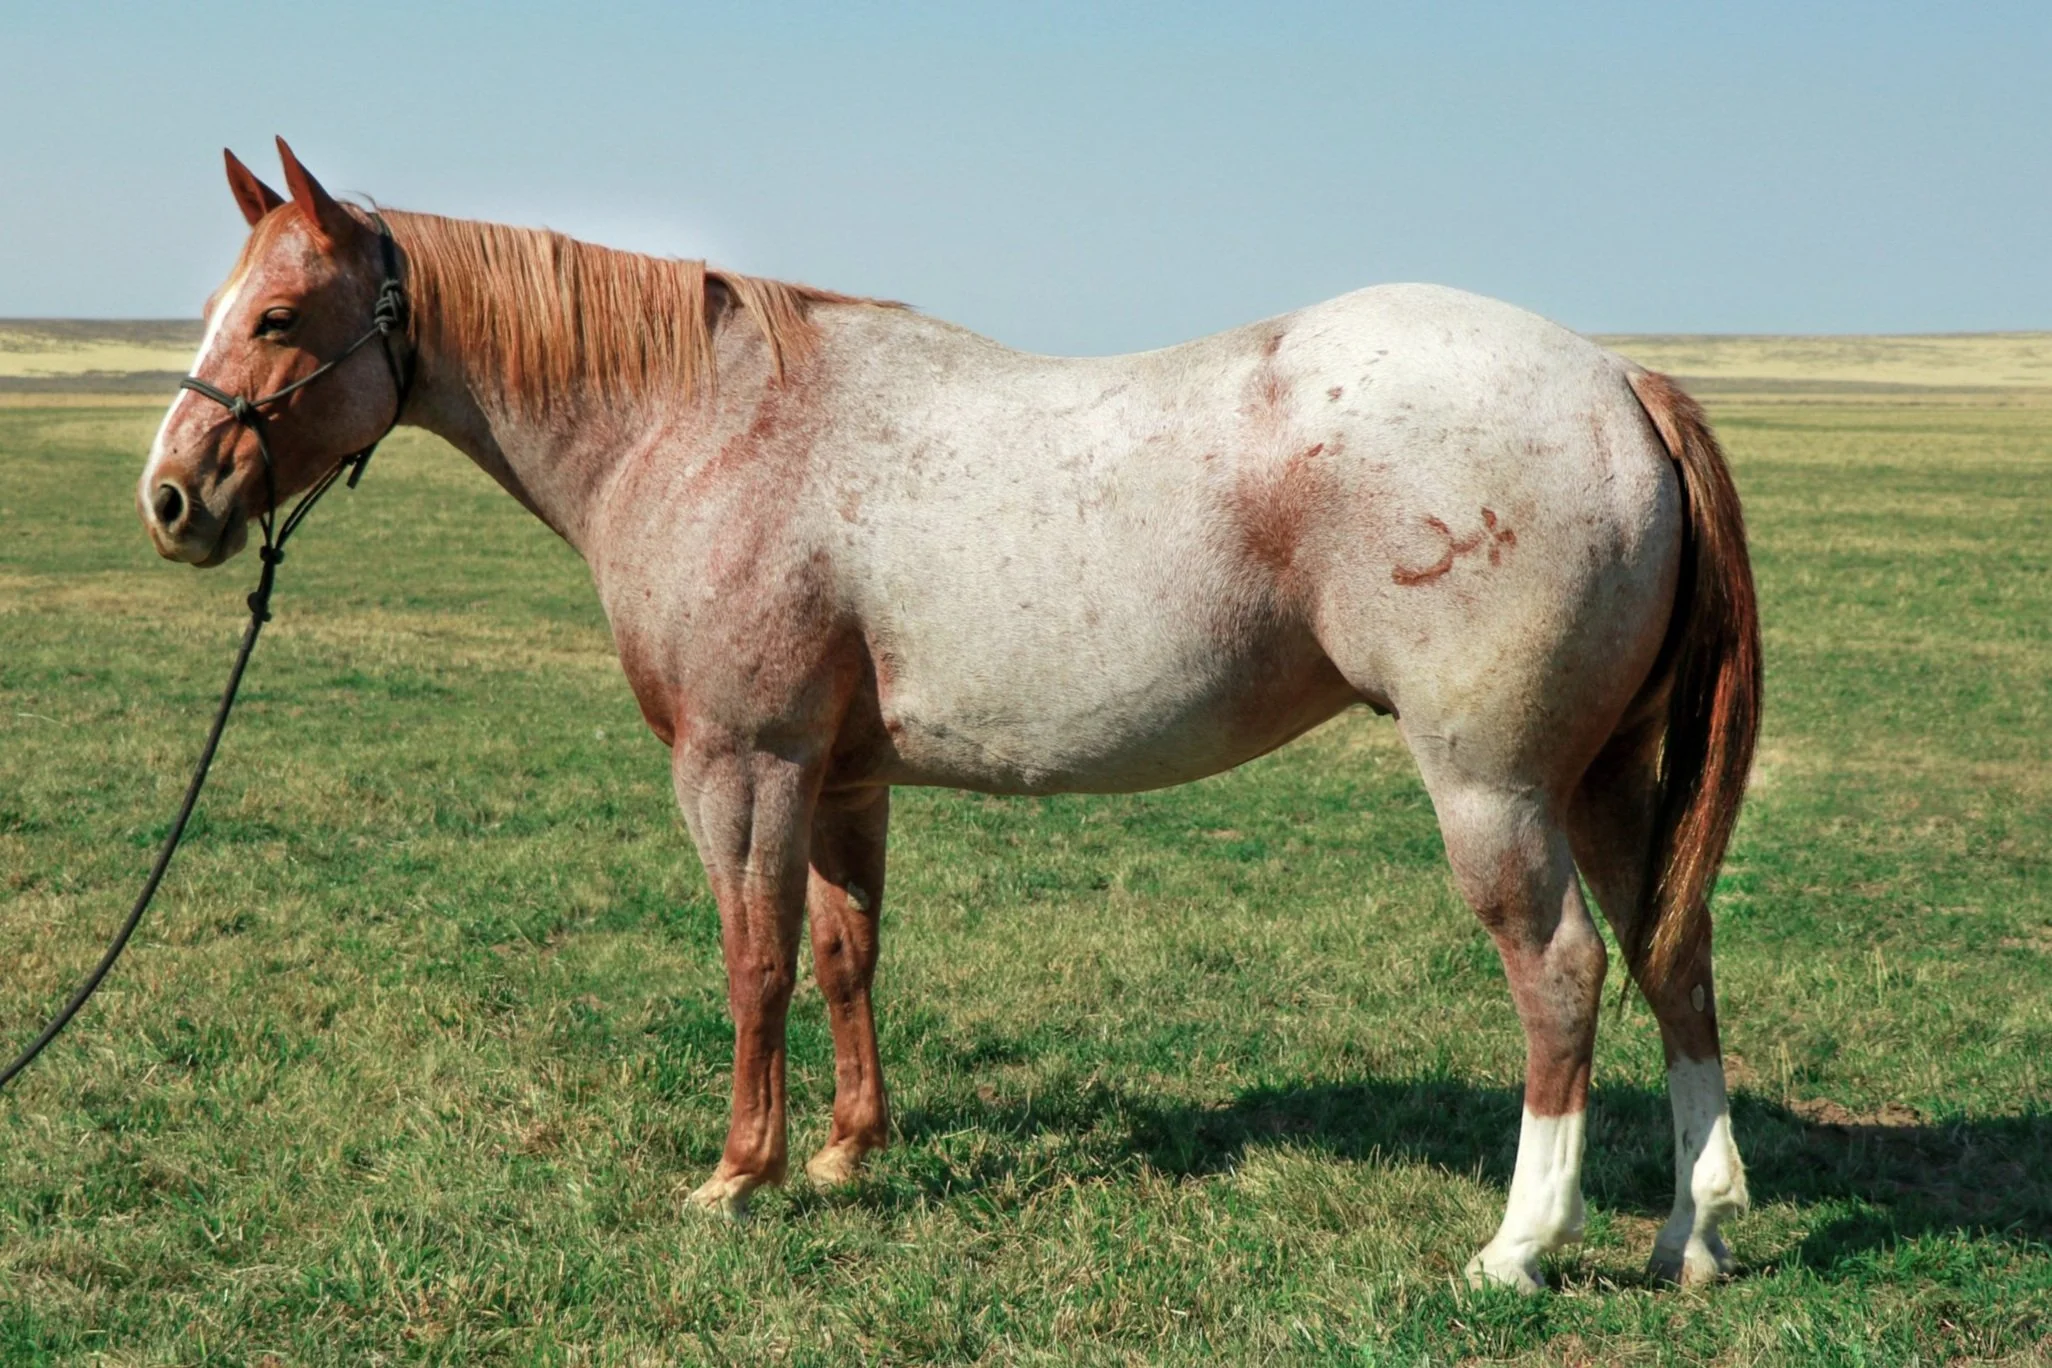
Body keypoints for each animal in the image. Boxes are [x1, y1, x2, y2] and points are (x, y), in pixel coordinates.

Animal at [139, 139, 1760, 1292]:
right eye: (213, 308)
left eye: (278, 315)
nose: (169, 501)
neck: (704, 424)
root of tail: (1621, 380)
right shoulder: (846, 780)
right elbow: (846, 954)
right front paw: (850, 1153)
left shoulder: (743, 767)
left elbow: (755, 961)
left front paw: (739, 1175)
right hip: (1605, 783)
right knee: (1671, 958)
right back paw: (1690, 1238)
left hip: (1495, 790)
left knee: (1562, 975)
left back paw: (1520, 1248)